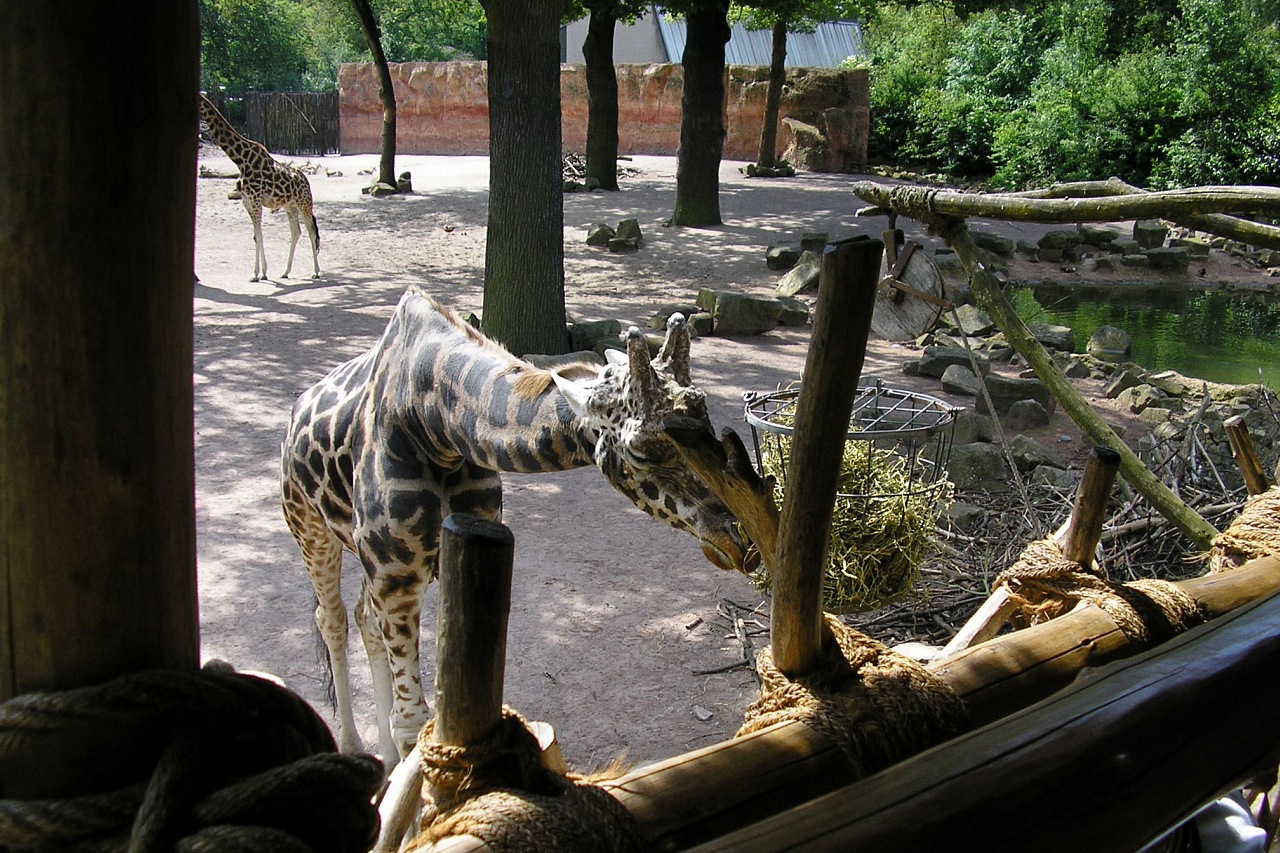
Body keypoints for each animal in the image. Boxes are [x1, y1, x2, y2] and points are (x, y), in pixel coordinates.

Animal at [198, 93, 320, 282]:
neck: (240, 159)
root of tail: (305, 180)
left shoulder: (255, 201)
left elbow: (259, 235)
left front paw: (256, 274)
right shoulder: (247, 202)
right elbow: (257, 236)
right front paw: (262, 272)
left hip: (304, 203)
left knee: (311, 230)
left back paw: (316, 272)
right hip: (290, 205)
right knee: (296, 232)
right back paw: (285, 272)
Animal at [280, 286, 756, 762]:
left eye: (707, 422)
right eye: (641, 450)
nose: (742, 540)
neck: (434, 424)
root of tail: (298, 405)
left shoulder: (448, 553)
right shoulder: (396, 577)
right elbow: (413, 722)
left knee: (363, 618)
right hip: (312, 528)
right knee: (332, 619)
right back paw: (352, 745)